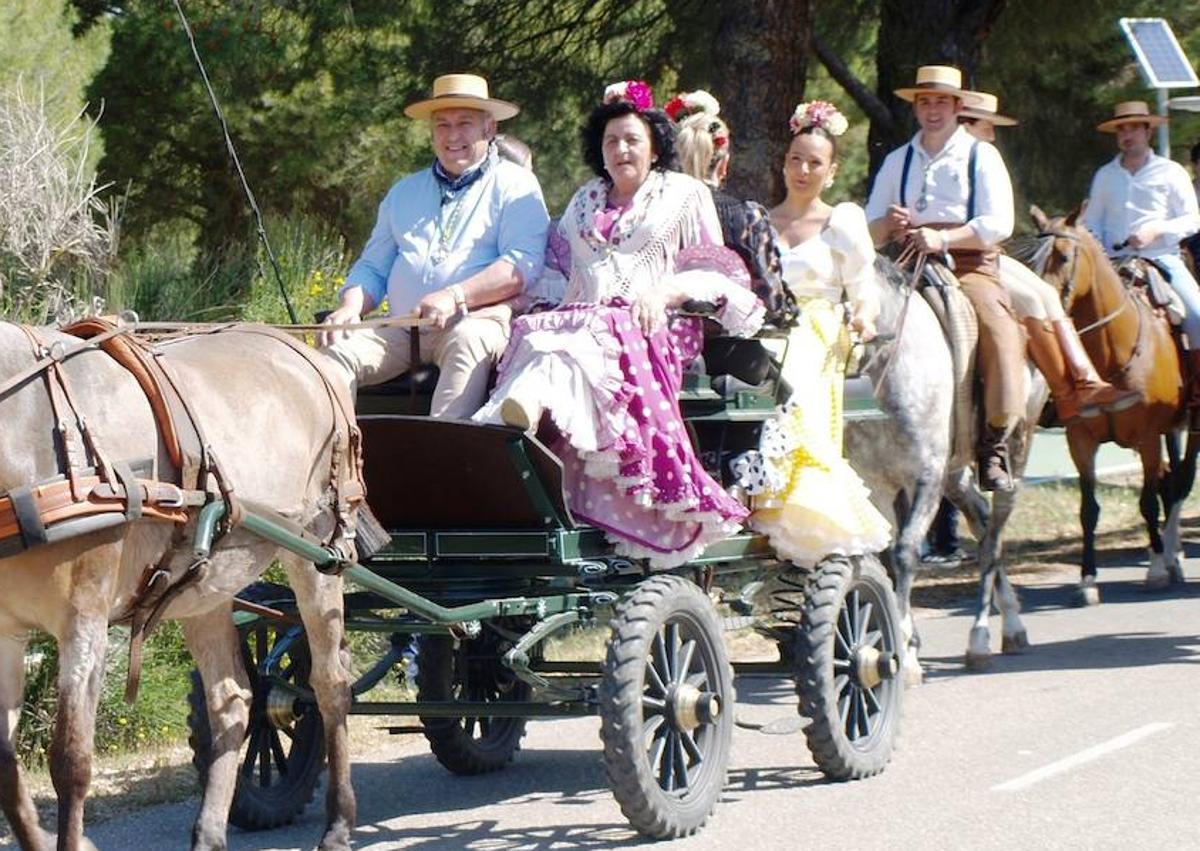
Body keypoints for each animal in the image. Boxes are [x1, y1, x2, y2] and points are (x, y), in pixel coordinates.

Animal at [0, 321, 357, 844]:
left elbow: (70, 760)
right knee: (232, 700)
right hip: (205, 588)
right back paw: (209, 833)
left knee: (330, 686)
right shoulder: (5, 631)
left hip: (317, 552)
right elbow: (6, 769)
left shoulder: (84, 619)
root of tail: (307, 353)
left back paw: (339, 823)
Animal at [844, 255, 1051, 672]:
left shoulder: (925, 477)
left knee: (992, 539)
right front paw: (906, 645)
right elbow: (887, 559)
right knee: (982, 519)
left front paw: (905, 658)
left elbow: (905, 553)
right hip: (954, 476)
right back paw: (1011, 621)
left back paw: (984, 637)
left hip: (1013, 455)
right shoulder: (877, 484)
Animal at [1017, 211, 1195, 604]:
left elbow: (1147, 501)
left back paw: (1171, 556)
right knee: (1170, 480)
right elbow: (1089, 510)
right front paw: (1087, 580)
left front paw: (1156, 569)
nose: (1036, 307)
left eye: (1063, 257)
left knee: (1180, 481)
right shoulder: (1080, 439)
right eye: (1030, 262)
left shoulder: (1147, 437)